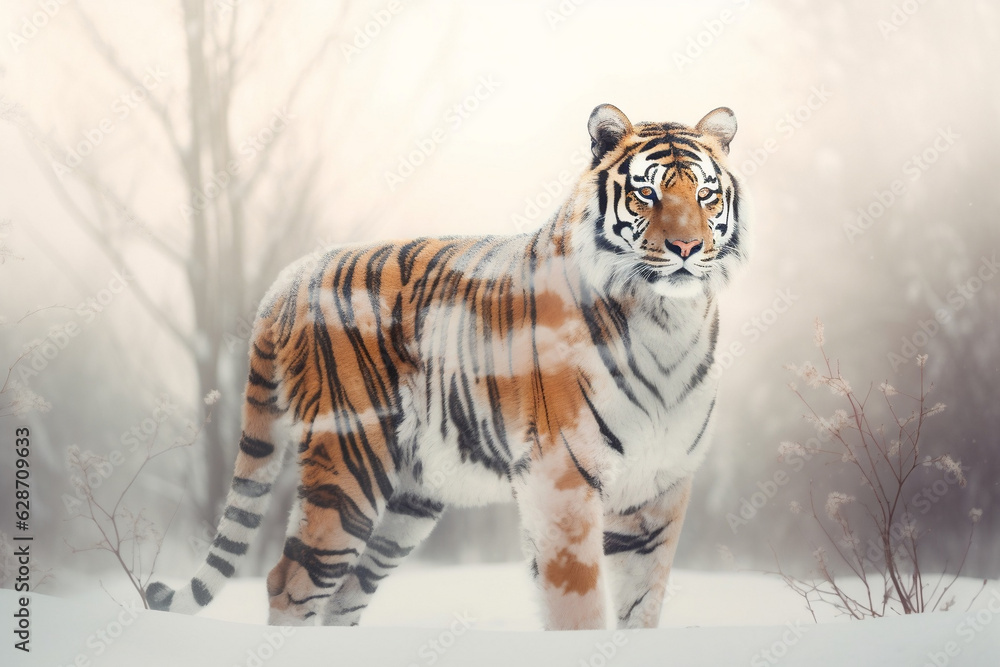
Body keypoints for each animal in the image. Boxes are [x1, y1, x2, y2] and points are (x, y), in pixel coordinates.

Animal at [146, 104, 749, 630]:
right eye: (647, 192)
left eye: (705, 193)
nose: (687, 247)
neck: (668, 322)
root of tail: (289, 278)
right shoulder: (562, 478)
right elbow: (576, 608)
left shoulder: (658, 487)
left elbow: (640, 607)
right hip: (350, 466)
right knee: (291, 582)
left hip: (411, 498)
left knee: (344, 596)